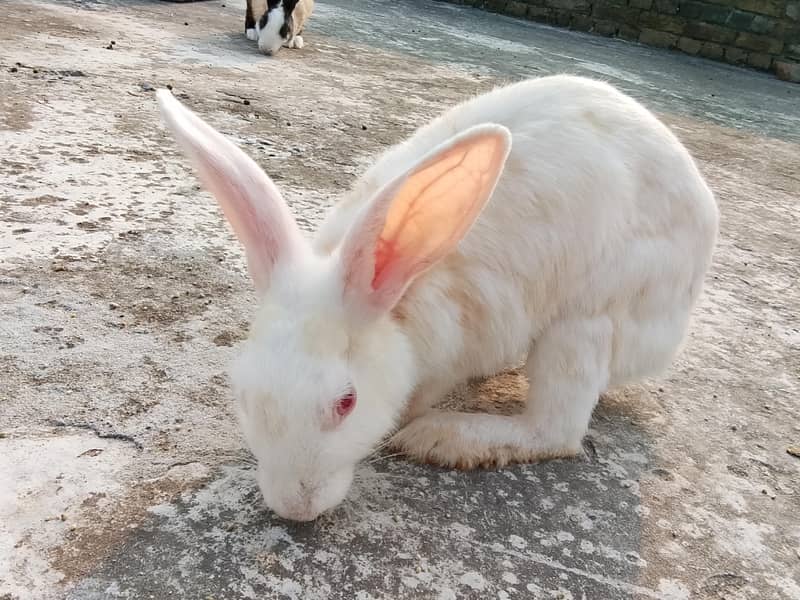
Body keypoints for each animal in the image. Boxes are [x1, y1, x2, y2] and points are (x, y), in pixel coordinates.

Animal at [156, 74, 718, 522]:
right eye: (244, 395)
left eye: (346, 402)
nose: (295, 509)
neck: (397, 299)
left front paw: (410, 424)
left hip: (586, 321)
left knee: (557, 428)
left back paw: (444, 436)